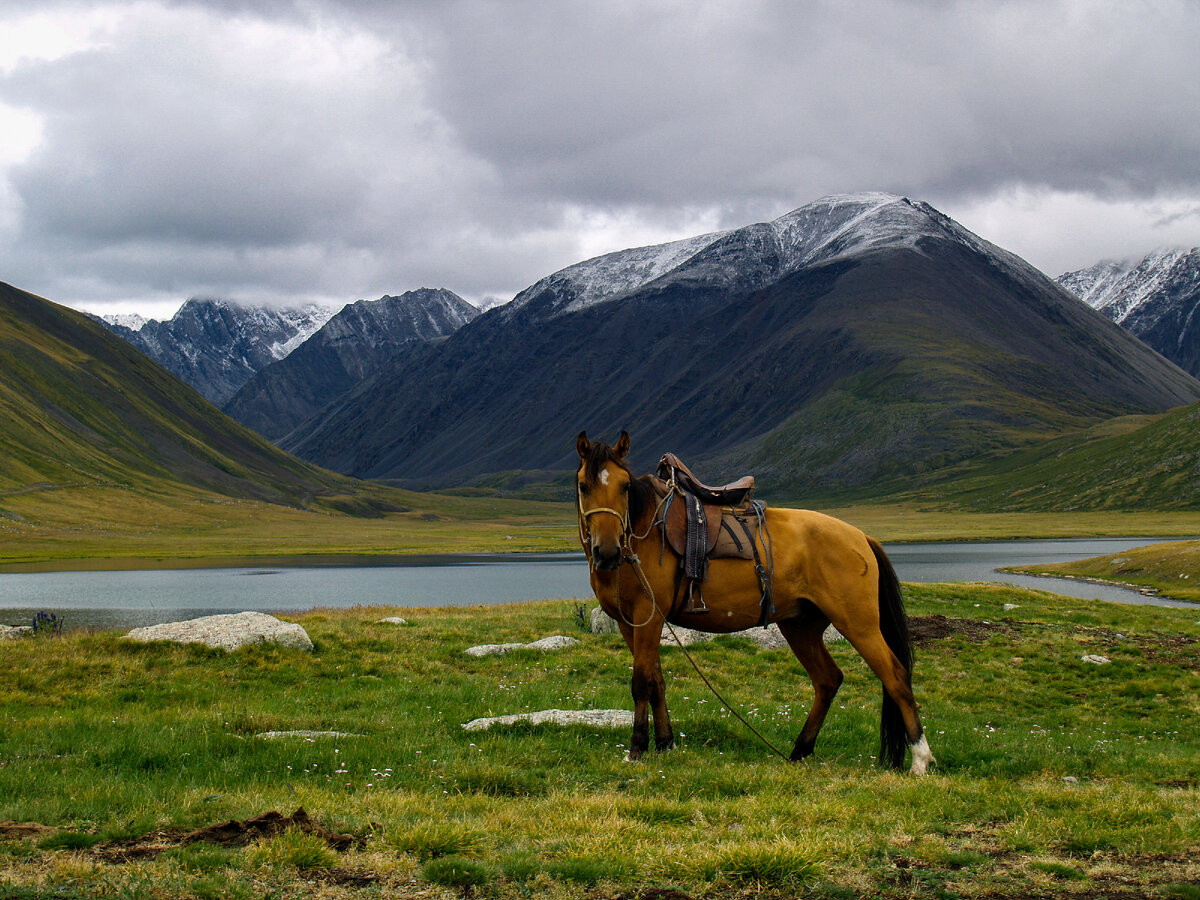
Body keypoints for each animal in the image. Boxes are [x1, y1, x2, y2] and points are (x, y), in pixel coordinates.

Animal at [573, 429, 936, 777]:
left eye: (624, 486)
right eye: (583, 486)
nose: (607, 552)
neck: (642, 533)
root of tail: (862, 536)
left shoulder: (648, 616)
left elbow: (641, 682)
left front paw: (637, 748)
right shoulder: (628, 622)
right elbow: (656, 680)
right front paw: (665, 744)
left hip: (858, 623)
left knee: (896, 677)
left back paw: (920, 759)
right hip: (801, 625)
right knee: (828, 679)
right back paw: (799, 751)